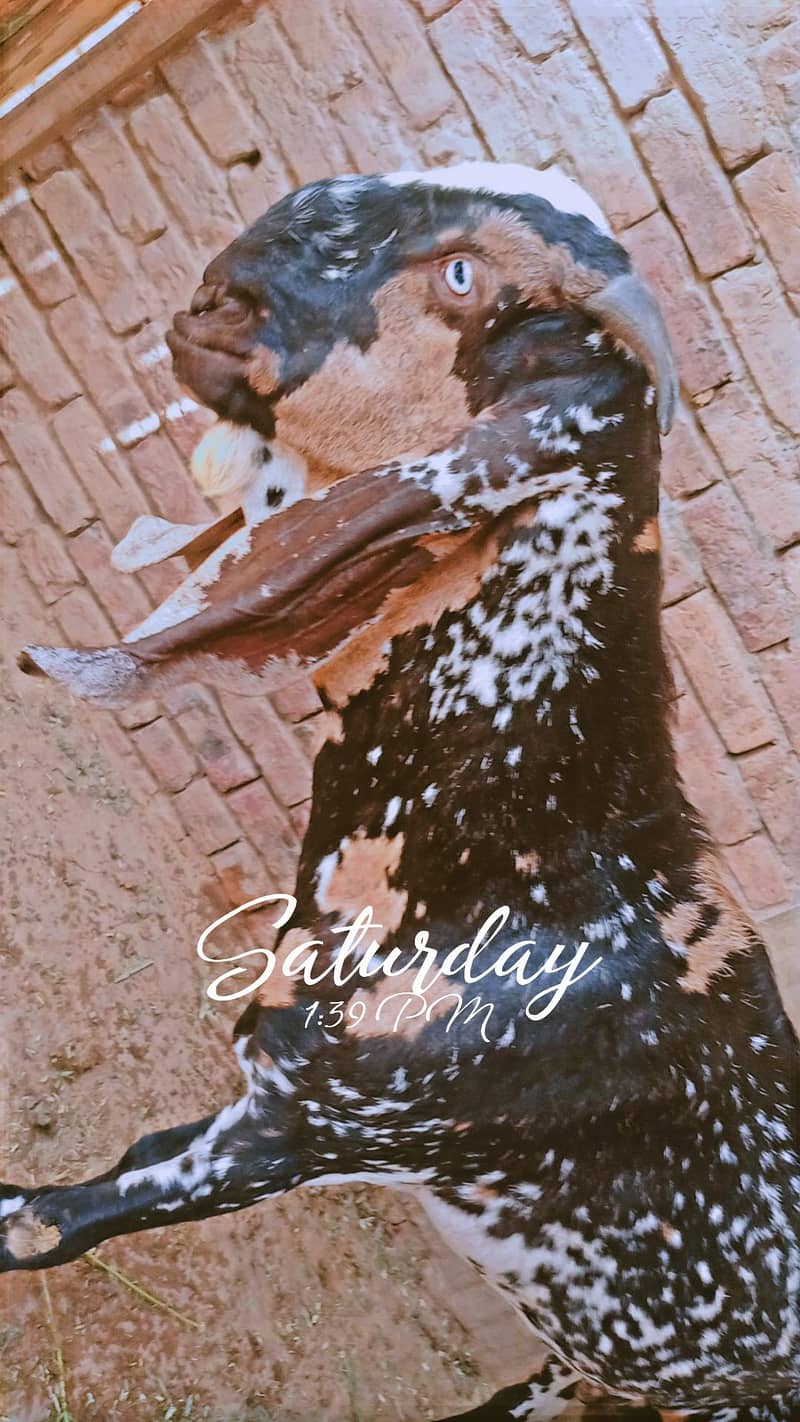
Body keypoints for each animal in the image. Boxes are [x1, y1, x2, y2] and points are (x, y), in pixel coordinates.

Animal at [5, 163, 800, 1422]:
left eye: (462, 276)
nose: (222, 290)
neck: (523, 852)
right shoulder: (266, 1081)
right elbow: (127, 1158)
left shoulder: (305, 1128)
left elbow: (44, 1225)